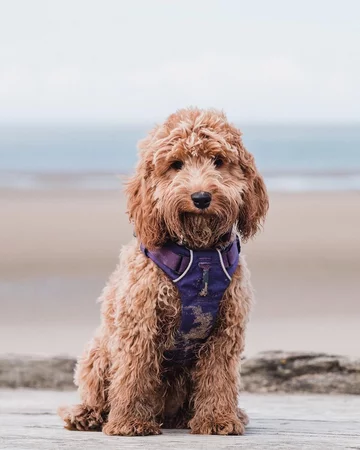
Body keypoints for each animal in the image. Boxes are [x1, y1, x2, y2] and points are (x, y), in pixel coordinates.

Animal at [57, 107, 268, 434]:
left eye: (218, 160)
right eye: (176, 164)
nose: (201, 197)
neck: (199, 255)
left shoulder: (225, 330)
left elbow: (219, 377)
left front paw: (218, 418)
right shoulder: (140, 322)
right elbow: (134, 374)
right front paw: (129, 422)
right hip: (99, 351)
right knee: (96, 390)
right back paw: (86, 414)